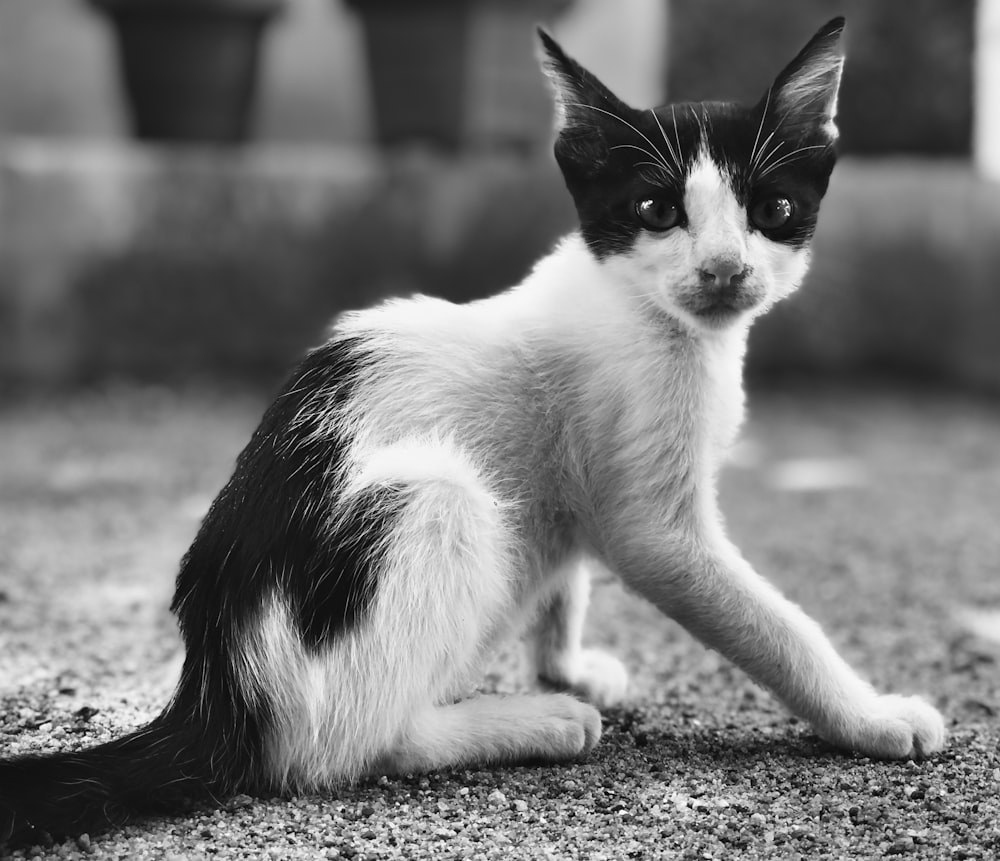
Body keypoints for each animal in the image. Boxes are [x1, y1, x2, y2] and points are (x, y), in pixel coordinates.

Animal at [0, 18, 944, 848]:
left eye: (772, 208)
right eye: (656, 208)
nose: (723, 269)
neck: (649, 314)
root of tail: (218, 690)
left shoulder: (571, 486)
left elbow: (566, 566)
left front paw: (565, 658)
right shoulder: (655, 525)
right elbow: (768, 620)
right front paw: (870, 716)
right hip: (436, 497)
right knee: (346, 748)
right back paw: (531, 722)